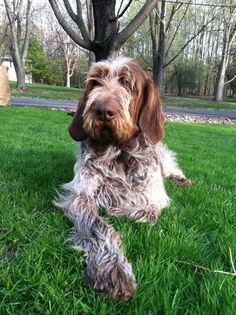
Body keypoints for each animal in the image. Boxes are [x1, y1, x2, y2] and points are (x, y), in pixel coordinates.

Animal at [56, 58, 191, 302]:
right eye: (95, 82)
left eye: (128, 84)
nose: (102, 110)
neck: (118, 152)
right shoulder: (81, 197)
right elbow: (98, 227)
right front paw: (112, 269)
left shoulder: (154, 195)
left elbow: (147, 211)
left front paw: (118, 208)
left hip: (163, 157)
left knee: (171, 166)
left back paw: (181, 180)